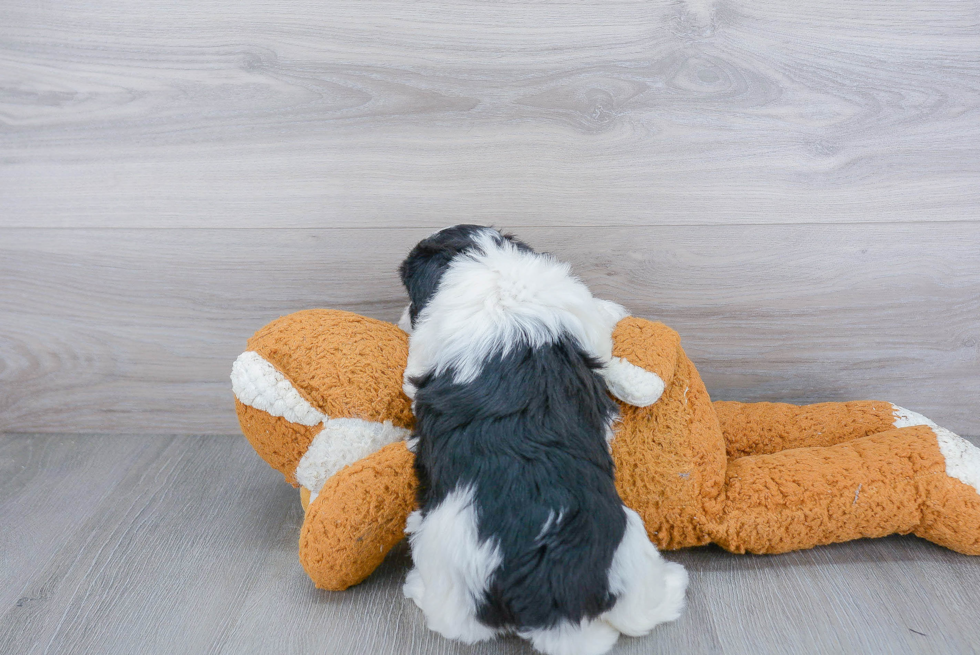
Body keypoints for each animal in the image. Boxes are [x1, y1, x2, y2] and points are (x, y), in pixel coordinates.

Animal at [398, 227, 688, 655]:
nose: (403, 316)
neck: (494, 269)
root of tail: (544, 587)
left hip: (448, 573)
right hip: (630, 550)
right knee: (640, 614)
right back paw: (673, 584)